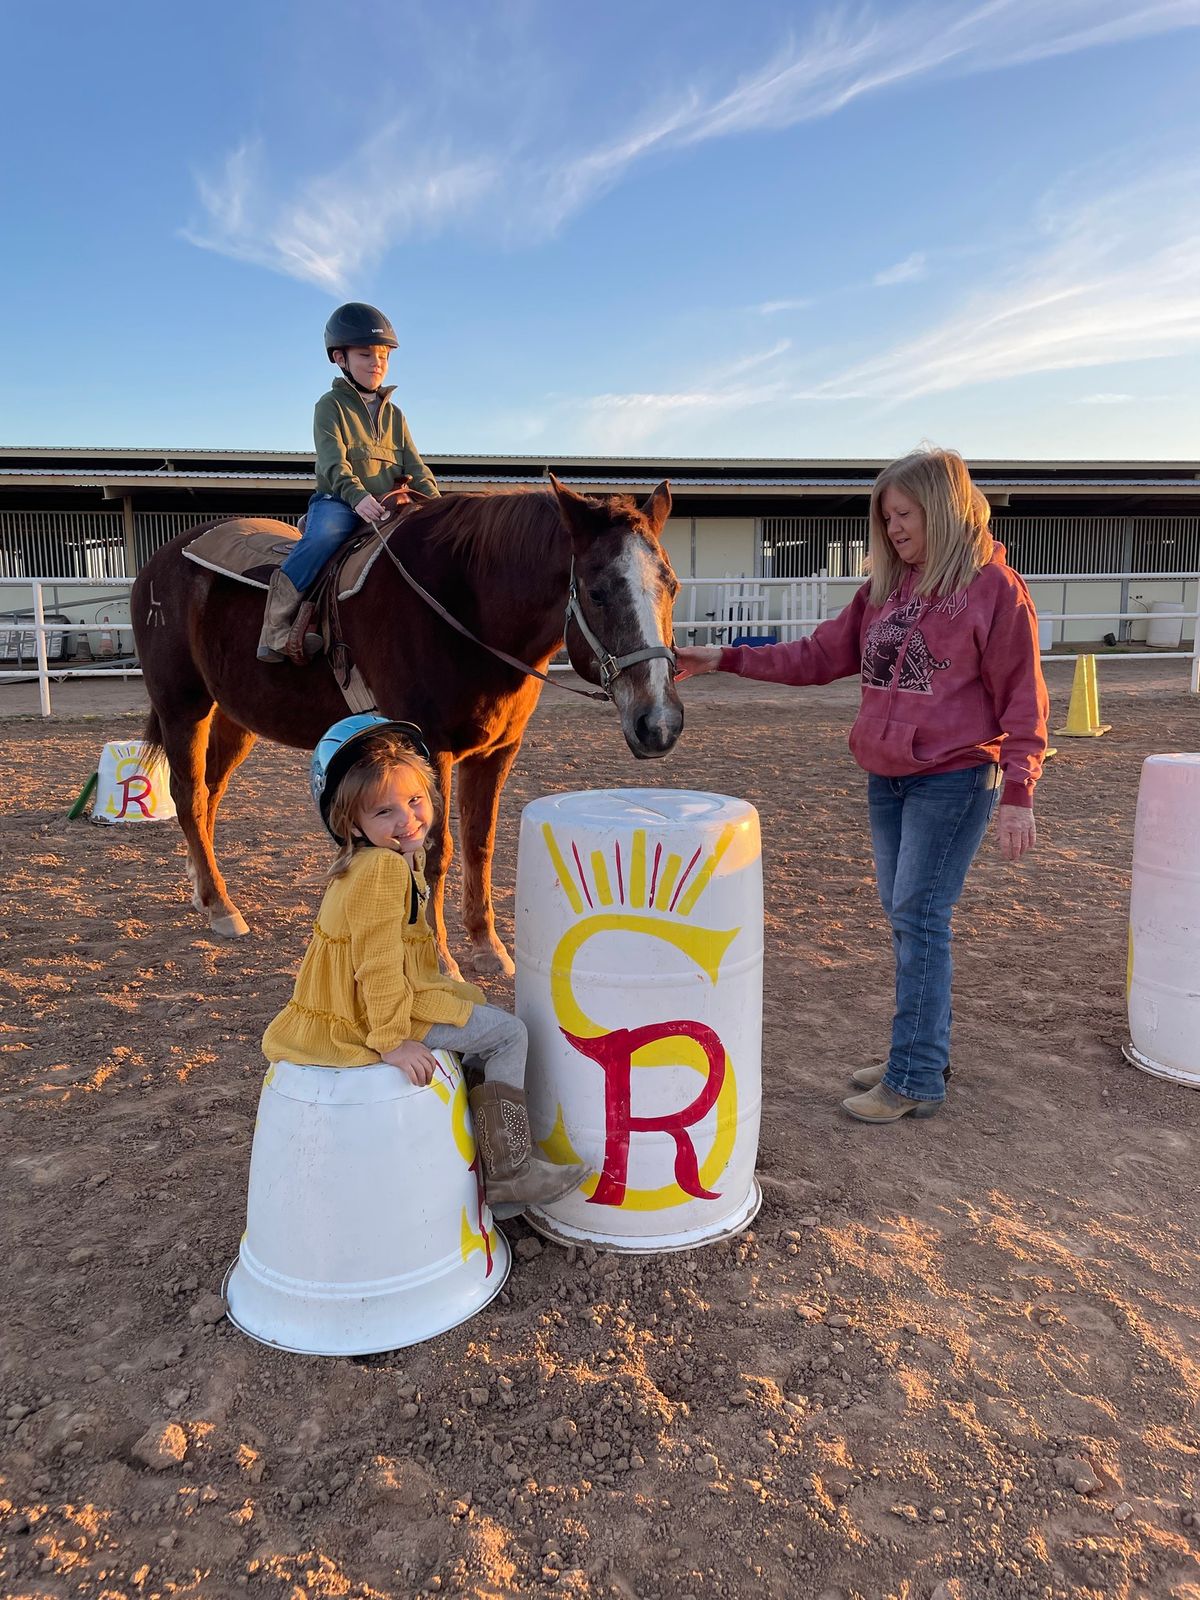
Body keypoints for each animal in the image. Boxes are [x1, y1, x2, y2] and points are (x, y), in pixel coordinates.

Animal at [132, 473, 684, 972]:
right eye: (597, 591)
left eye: (672, 585)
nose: (658, 723)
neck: (461, 605)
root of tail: (158, 564)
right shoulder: (431, 747)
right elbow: (434, 851)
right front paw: (439, 958)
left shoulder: (496, 752)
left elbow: (479, 843)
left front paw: (487, 946)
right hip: (183, 708)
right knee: (188, 795)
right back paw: (221, 907)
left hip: (233, 719)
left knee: (209, 793)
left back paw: (205, 889)